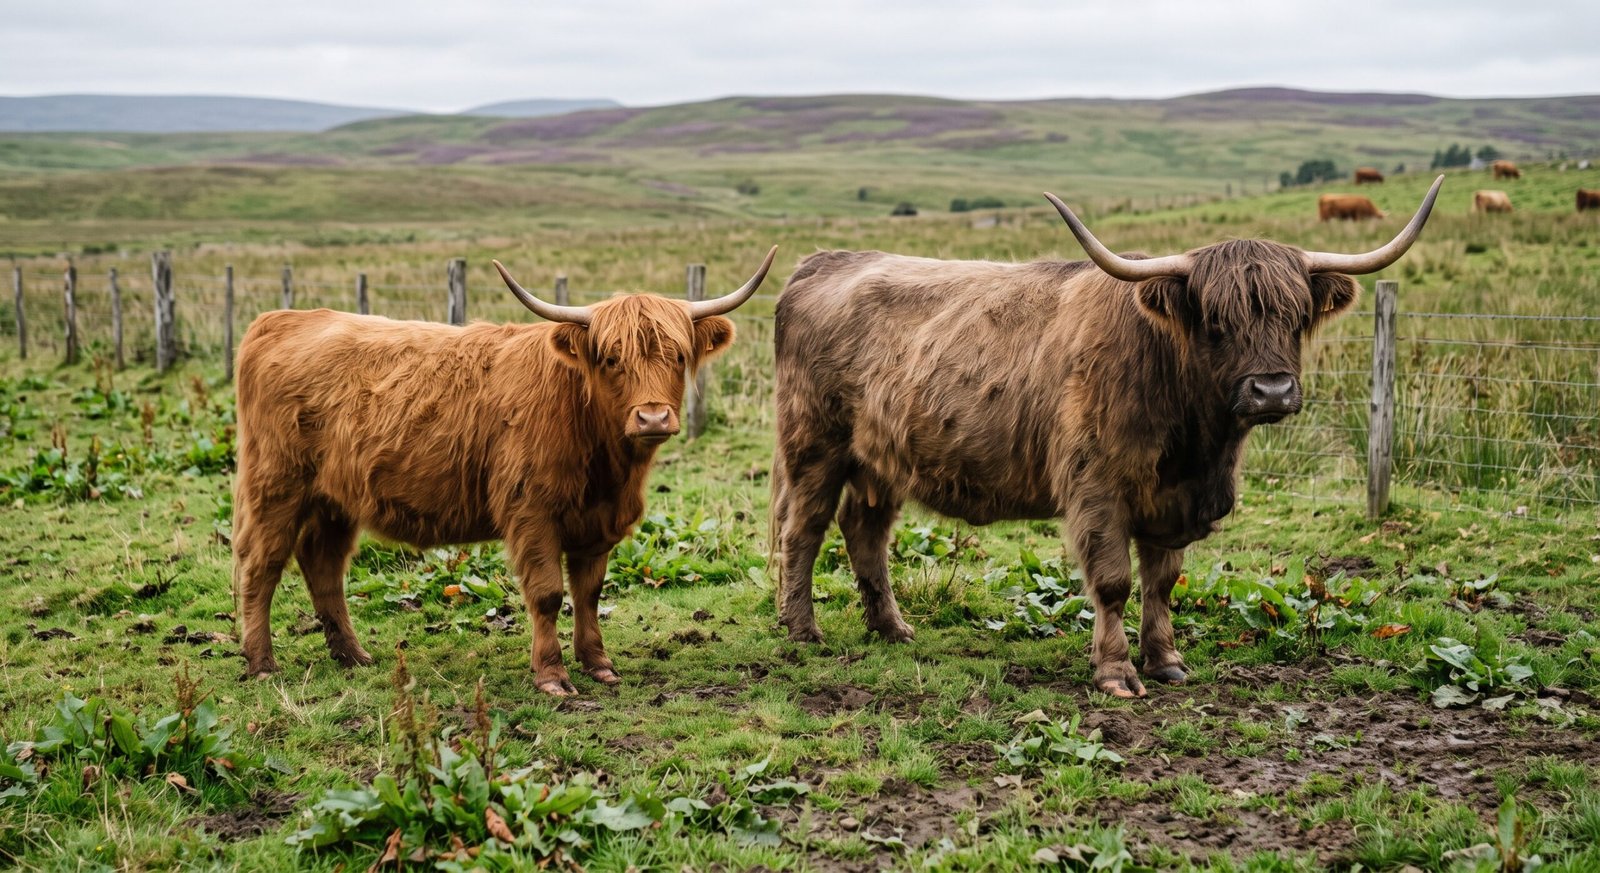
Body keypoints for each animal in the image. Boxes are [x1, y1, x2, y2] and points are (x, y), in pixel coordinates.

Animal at [232, 247, 777, 696]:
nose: (653, 418)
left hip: (335, 499)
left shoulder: (596, 521)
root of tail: (280, 320)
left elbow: (589, 592)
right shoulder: (531, 511)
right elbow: (548, 593)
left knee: (322, 564)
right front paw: (553, 676)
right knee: (262, 566)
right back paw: (262, 664)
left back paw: (352, 655)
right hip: (276, 486)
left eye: (678, 355)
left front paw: (598, 663)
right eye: (610, 358)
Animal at [770, 178, 1443, 698]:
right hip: (814, 447)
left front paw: (1167, 661)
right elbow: (1115, 581)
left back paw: (892, 628)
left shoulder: (1171, 501)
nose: (1272, 390)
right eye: (1216, 321)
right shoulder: (1097, 488)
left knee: (865, 532)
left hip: (880, 459)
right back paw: (803, 630)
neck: (1196, 444)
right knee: (804, 530)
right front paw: (1117, 672)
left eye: (1296, 316)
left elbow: (1163, 581)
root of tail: (820, 262)